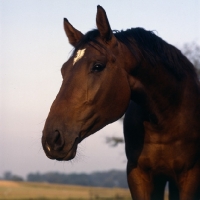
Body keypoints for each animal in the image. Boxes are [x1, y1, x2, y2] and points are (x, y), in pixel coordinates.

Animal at [41, 5, 200, 199]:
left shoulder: (190, 175)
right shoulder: (138, 174)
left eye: (98, 66)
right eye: (63, 70)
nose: (52, 139)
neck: (168, 116)